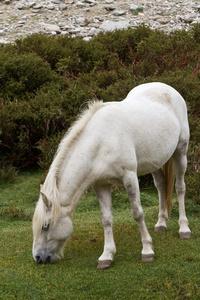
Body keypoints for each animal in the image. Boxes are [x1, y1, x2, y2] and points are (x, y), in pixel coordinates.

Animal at [31, 81, 191, 270]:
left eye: (46, 226)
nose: (38, 257)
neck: (101, 142)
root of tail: (167, 87)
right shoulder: (100, 184)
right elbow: (106, 219)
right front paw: (106, 256)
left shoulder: (129, 177)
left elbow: (137, 213)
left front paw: (147, 251)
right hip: (156, 160)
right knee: (160, 186)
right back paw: (161, 223)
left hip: (181, 151)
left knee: (180, 188)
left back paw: (184, 228)